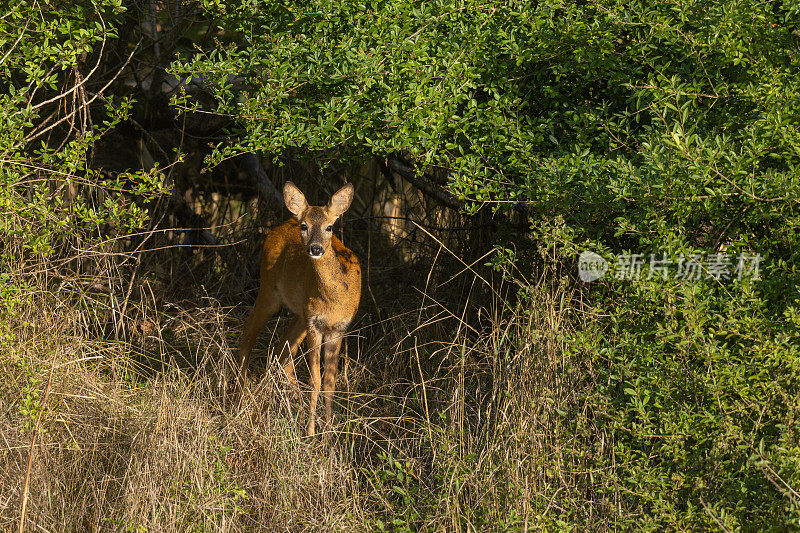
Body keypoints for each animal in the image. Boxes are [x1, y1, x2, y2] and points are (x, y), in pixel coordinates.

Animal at [238, 181, 362, 434]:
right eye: (305, 226)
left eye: (329, 227)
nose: (315, 249)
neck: (334, 300)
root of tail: (281, 225)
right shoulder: (315, 325)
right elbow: (315, 380)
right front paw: (311, 433)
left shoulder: (338, 328)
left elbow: (329, 383)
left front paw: (328, 436)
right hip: (270, 291)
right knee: (248, 335)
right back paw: (237, 400)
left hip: (300, 313)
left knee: (283, 349)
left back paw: (292, 404)